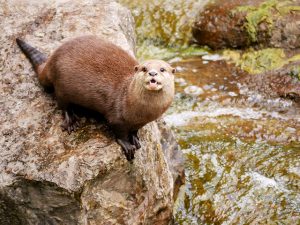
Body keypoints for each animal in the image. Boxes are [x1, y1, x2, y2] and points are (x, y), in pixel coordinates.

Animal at [15, 35, 176, 161]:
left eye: (162, 69)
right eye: (144, 68)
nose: (153, 73)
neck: (143, 112)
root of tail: (51, 60)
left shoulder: (142, 122)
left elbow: (135, 131)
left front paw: (135, 139)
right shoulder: (116, 117)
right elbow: (120, 132)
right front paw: (127, 145)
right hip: (62, 86)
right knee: (62, 103)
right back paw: (71, 121)